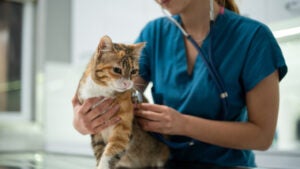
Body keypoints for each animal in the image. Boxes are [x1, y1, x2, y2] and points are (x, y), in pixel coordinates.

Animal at [76, 35, 169, 169]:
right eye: (117, 70)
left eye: (134, 71)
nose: (127, 83)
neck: (102, 92)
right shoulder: (95, 130)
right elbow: (99, 152)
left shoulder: (122, 130)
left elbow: (110, 154)